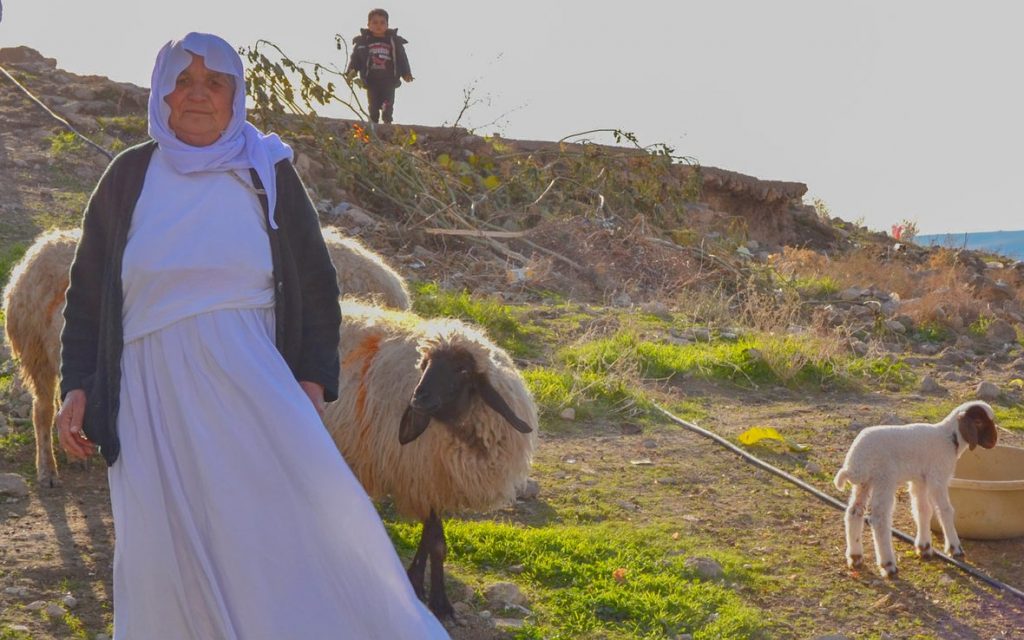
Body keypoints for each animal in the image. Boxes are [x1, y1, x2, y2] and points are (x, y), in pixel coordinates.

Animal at [323, 301, 540, 618]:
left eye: (462, 369)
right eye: (424, 365)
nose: (418, 398)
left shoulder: (433, 483)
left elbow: (431, 541)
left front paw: (417, 583)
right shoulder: (423, 475)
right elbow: (436, 543)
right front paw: (438, 601)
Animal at [831, 403, 999, 577]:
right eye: (978, 421)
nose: (994, 441)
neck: (949, 438)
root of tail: (855, 462)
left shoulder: (920, 480)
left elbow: (923, 510)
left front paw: (924, 547)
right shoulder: (937, 477)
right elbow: (945, 510)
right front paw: (955, 548)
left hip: (864, 483)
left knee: (854, 512)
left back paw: (855, 556)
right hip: (884, 479)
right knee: (879, 519)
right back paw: (888, 564)